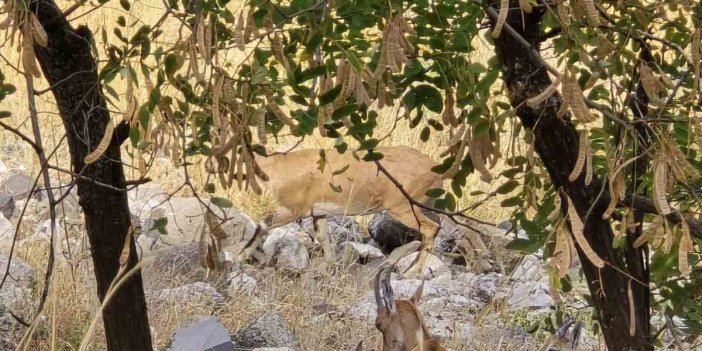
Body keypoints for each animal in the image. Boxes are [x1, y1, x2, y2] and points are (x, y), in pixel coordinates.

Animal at [242, 146, 468, 278]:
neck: (278, 165)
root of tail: (436, 169)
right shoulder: (318, 212)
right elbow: (322, 236)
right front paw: (328, 268)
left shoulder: (292, 210)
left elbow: (262, 224)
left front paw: (241, 256)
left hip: (403, 208)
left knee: (431, 228)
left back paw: (412, 272)